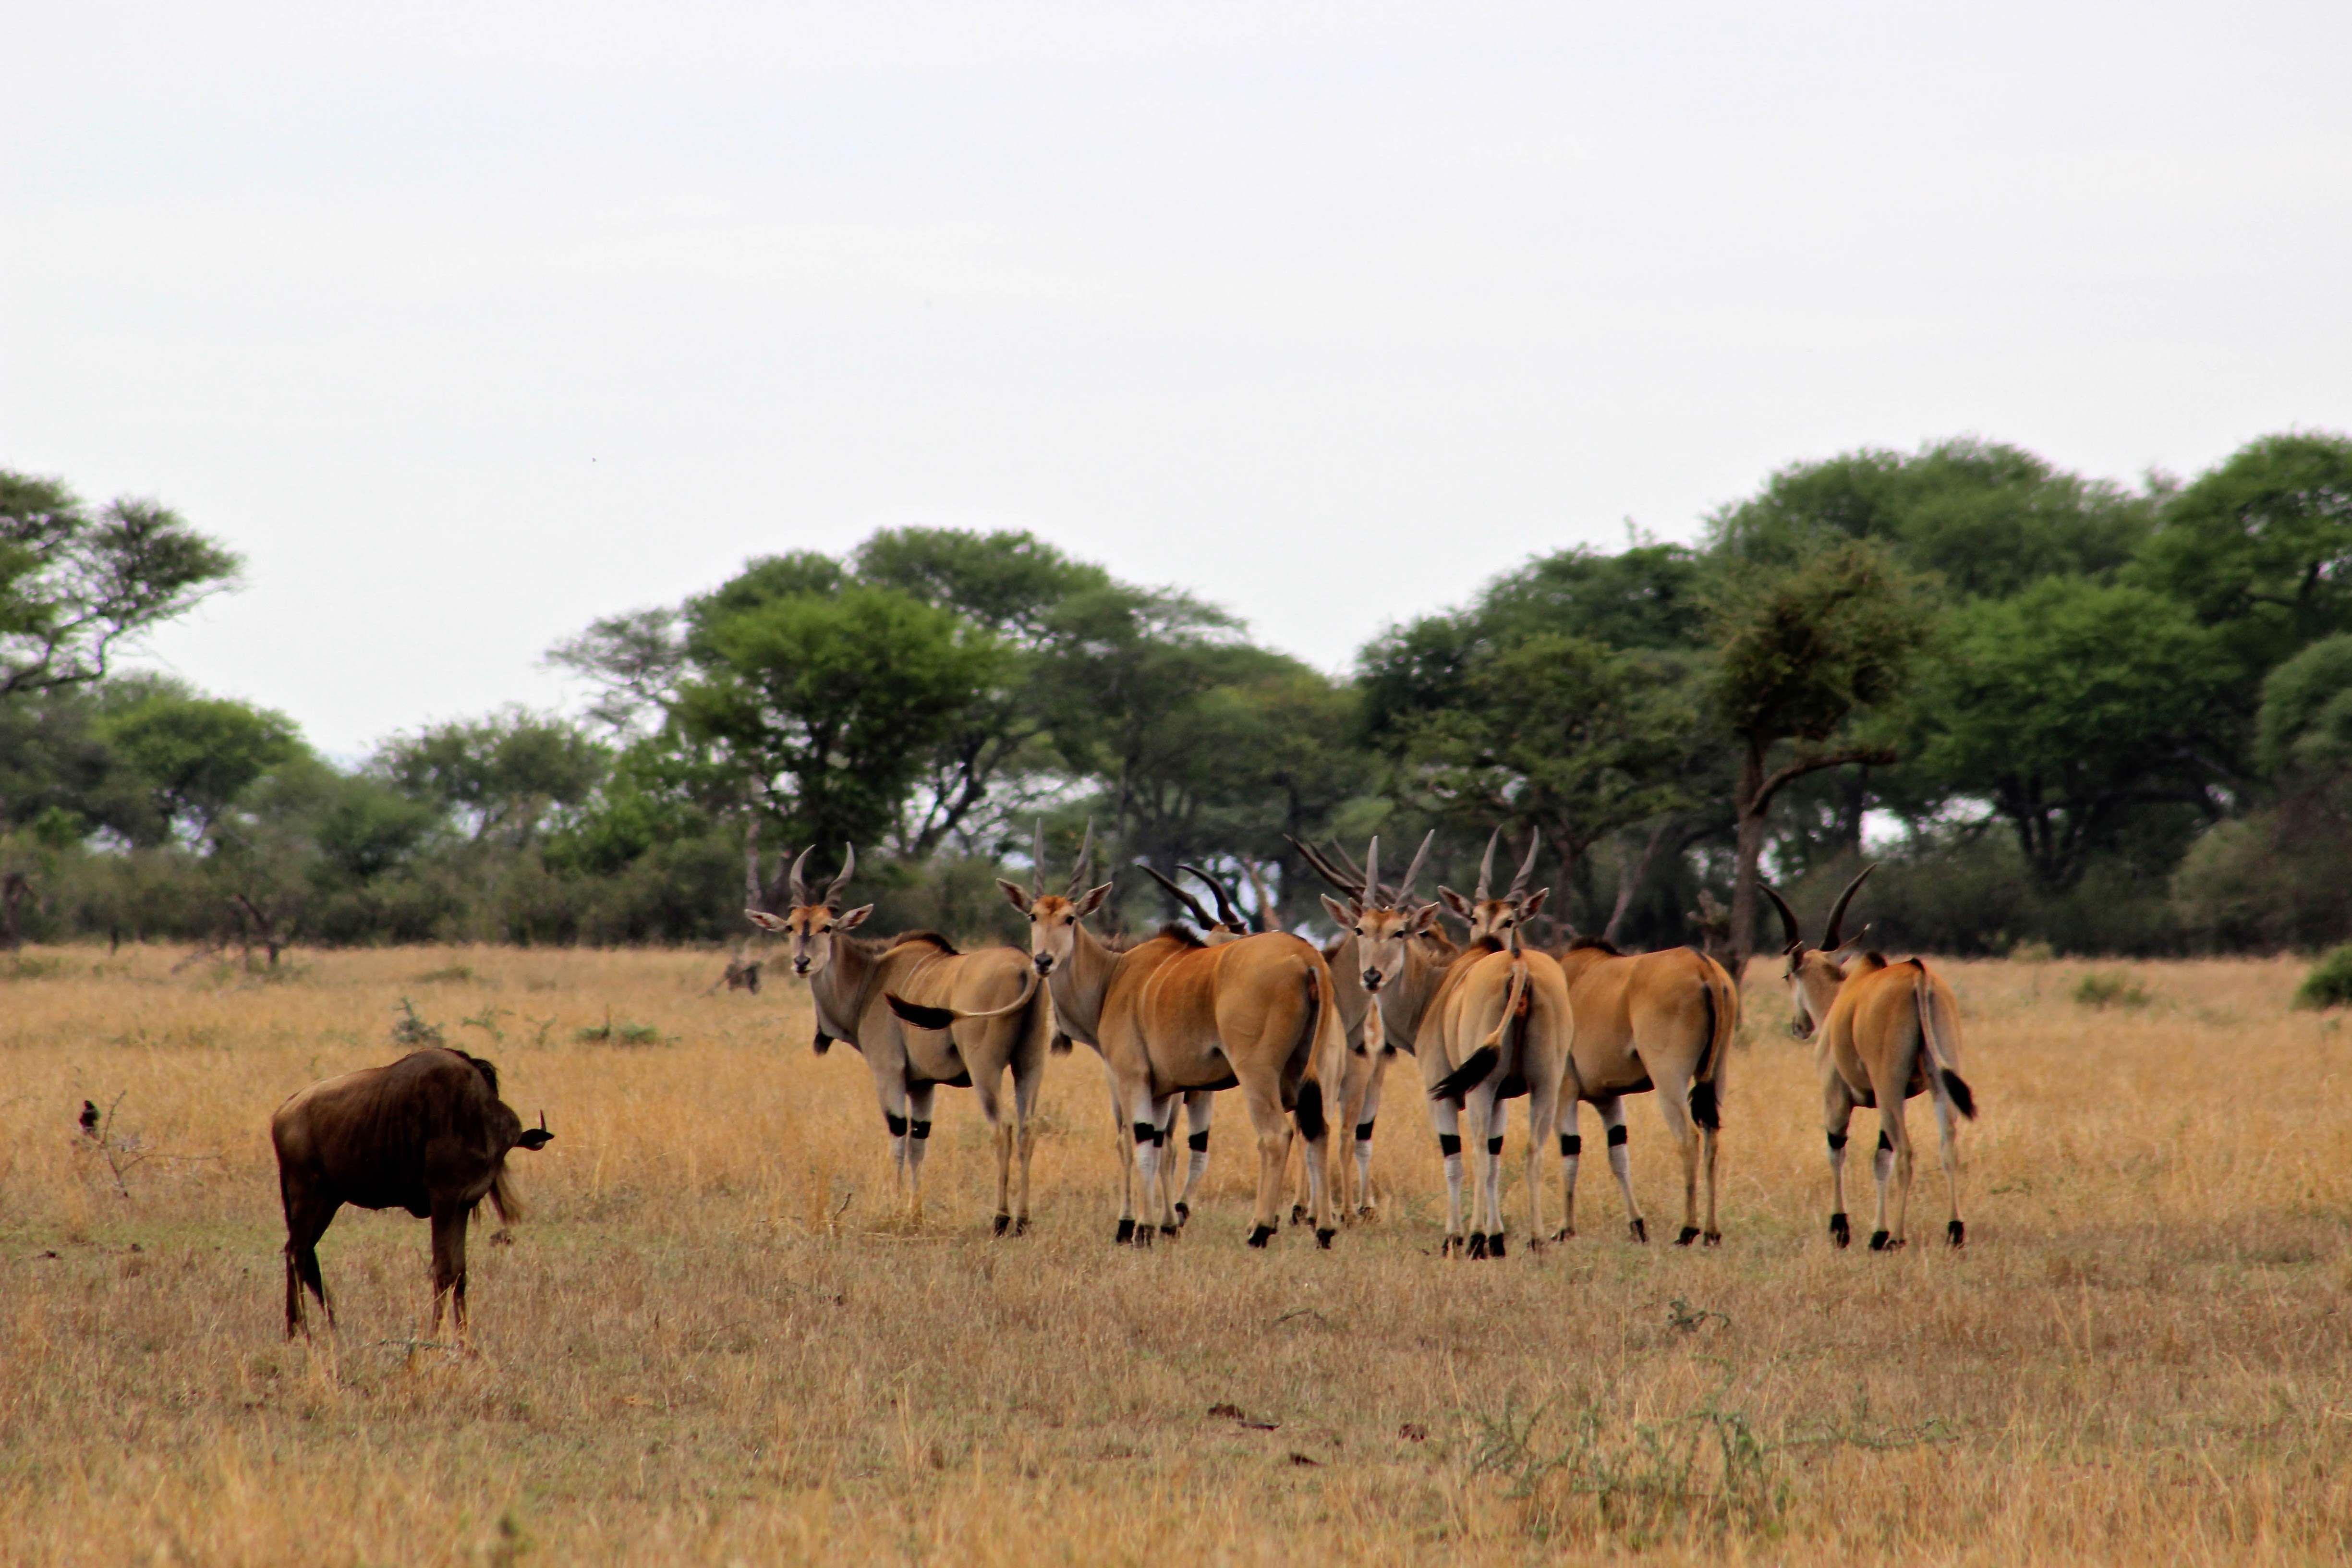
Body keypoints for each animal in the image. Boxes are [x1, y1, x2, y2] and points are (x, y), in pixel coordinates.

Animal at [748, 851, 1054, 1232]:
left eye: (827, 927)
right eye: (791, 926)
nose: (802, 962)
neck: (871, 978)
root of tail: (1026, 968)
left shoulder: (889, 1072)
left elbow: (897, 1137)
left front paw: (894, 1208)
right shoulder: (923, 1085)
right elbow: (919, 1141)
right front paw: (915, 1211)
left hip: (986, 1070)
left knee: (1003, 1128)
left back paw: (1001, 1219)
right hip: (1029, 1066)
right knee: (1028, 1128)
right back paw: (1024, 1220)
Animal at [1769, 870, 1976, 1251]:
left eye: (1787, 975)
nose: (1799, 1026)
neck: (1843, 997)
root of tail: (1918, 974)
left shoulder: (1837, 1098)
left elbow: (1838, 1152)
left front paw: (1842, 1229)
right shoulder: (1886, 1103)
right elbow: (1881, 1158)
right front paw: (1877, 1232)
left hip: (1890, 1088)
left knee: (1907, 1152)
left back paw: (1898, 1237)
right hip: (1937, 1086)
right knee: (1948, 1146)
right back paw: (1954, 1230)